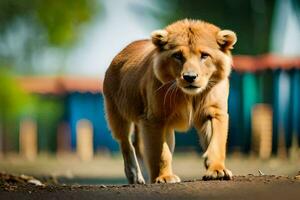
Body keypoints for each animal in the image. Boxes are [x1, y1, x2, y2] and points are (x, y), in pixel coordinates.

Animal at [103, 19, 237, 184]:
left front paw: (217, 171)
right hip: (117, 114)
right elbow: (160, 153)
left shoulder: (214, 112)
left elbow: (216, 142)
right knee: (126, 143)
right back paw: (135, 177)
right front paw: (164, 177)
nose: (190, 77)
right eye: (178, 56)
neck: (190, 96)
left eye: (204, 55)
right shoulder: (155, 119)